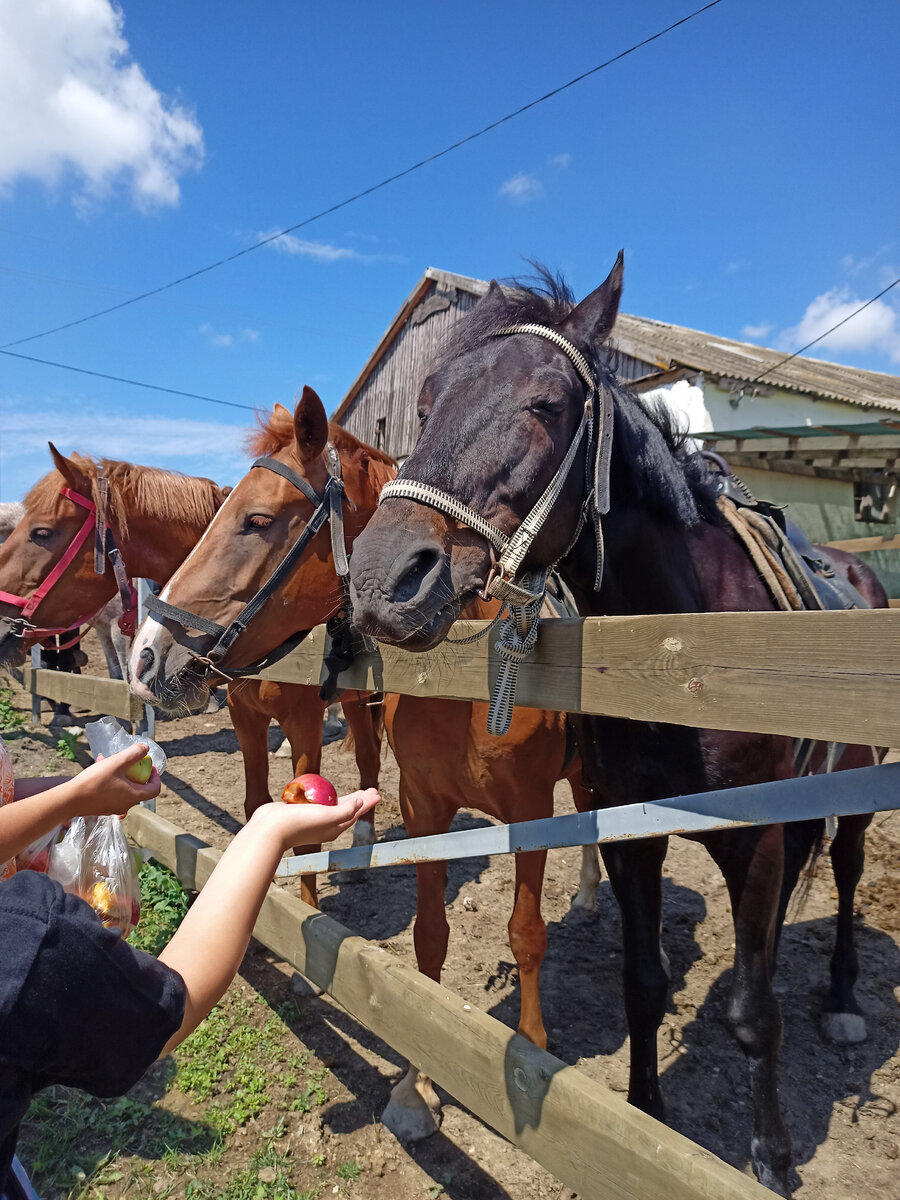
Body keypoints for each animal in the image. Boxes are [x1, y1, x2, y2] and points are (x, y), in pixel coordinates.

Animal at [127, 396, 592, 1142]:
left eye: (258, 519)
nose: (145, 656)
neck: (471, 675)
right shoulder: (425, 806)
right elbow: (428, 938)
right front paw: (416, 1085)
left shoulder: (529, 814)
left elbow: (526, 935)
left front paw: (530, 1051)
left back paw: (590, 895)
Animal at [348, 258, 892, 1195]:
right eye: (424, 404)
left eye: (544, 403)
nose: (384, 580)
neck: (680, 657)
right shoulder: (636, 834)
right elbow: (643, 983)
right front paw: (646, 1116)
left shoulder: (752, 839)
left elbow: (756, 1013)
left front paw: (771, 1155)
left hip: (852, 797)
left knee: (848, 875)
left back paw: (845, 1000)